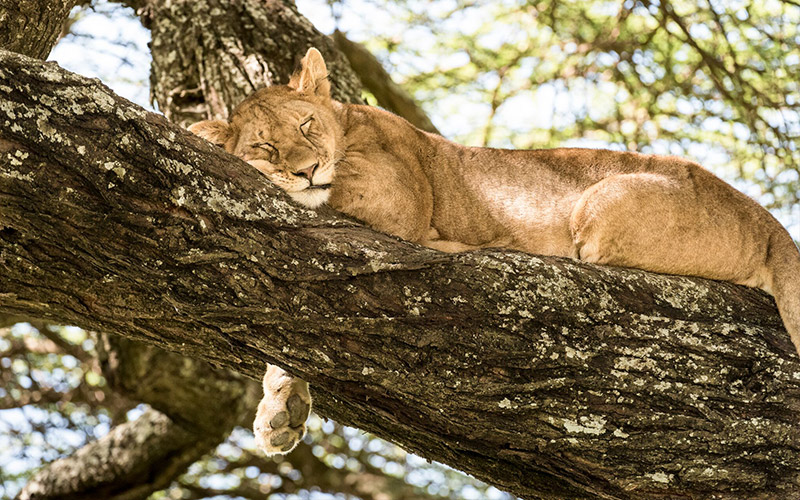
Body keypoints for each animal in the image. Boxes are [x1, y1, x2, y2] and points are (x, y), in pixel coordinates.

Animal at [191, 47, 800, 458]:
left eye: (307, 125)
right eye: (267, 146)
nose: (306, 169)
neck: (348, 125)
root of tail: (767, 219)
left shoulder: (394, 198)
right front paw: (282, 410)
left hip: (602, 203)